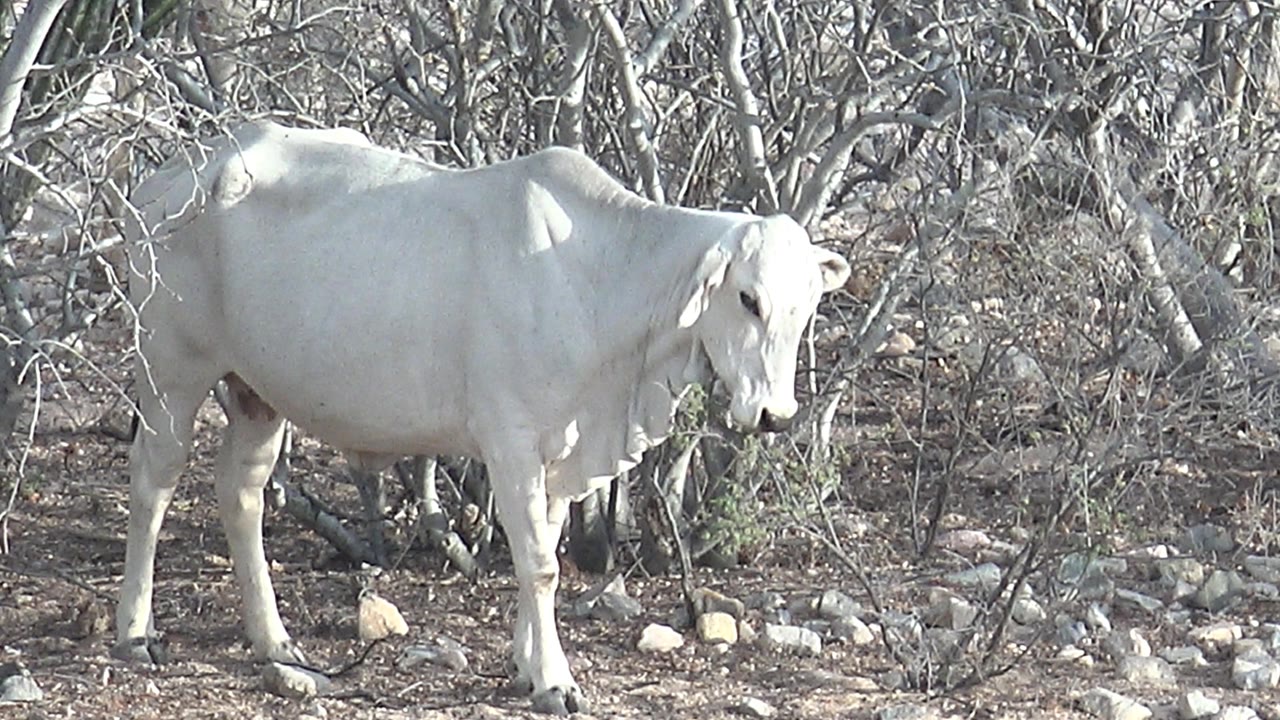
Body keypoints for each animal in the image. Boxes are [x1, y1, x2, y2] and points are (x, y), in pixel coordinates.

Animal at [114, 121, 850, 714]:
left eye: (808, 304)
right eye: (748, 298)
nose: (775, 413)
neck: (598, 280)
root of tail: (171, 174)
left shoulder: (561, 451)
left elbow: (541, 549)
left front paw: (526, 666)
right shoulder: (512, 441)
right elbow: (540, 563)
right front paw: (555, 679)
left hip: (256, 394)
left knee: (241, 495)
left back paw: (273, 640)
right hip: (171, 370)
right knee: (154, 483)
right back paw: (135, 632)